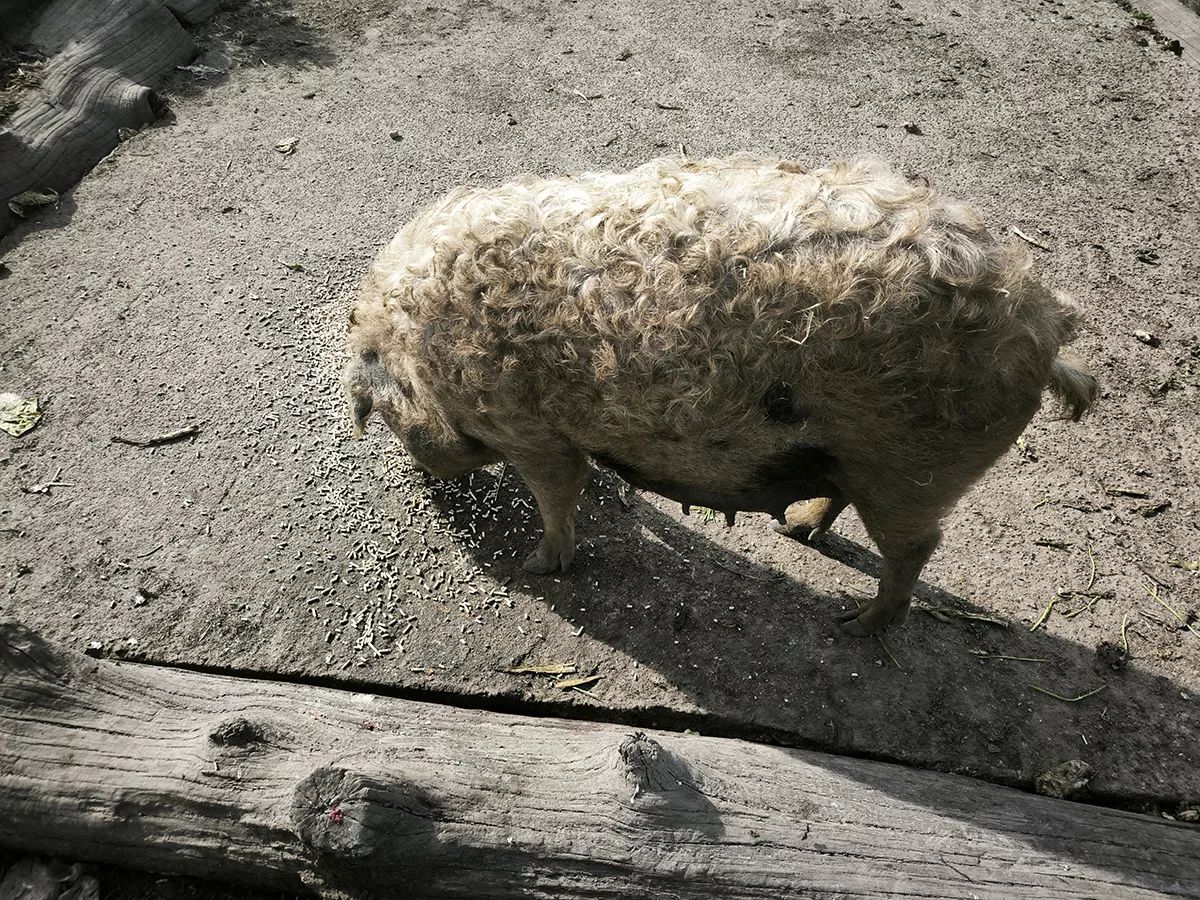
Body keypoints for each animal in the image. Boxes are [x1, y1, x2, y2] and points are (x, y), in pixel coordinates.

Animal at [344, 155, 1097, 636]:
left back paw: (853, 624)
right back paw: (796, 531)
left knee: (916, 548)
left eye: (390, 421)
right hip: (864, 460)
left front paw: (538, 564)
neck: (427, 354)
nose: (421, 480)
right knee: (844, 503)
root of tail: (1044, 327)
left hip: (916, 469)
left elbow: (560, 493)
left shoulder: (532, 430)